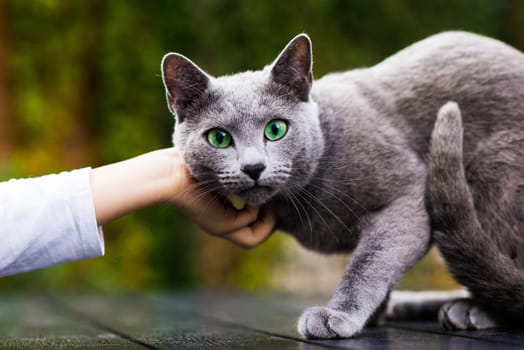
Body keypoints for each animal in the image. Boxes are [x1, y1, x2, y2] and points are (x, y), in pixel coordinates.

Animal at [160, 31, 524, 338]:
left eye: (276, 129)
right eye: (219, 138)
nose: (253, 167)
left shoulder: (407, 196)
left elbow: (370, 262)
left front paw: (339, 315)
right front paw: (375, 314)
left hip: (493, 169)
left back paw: (472, 311)